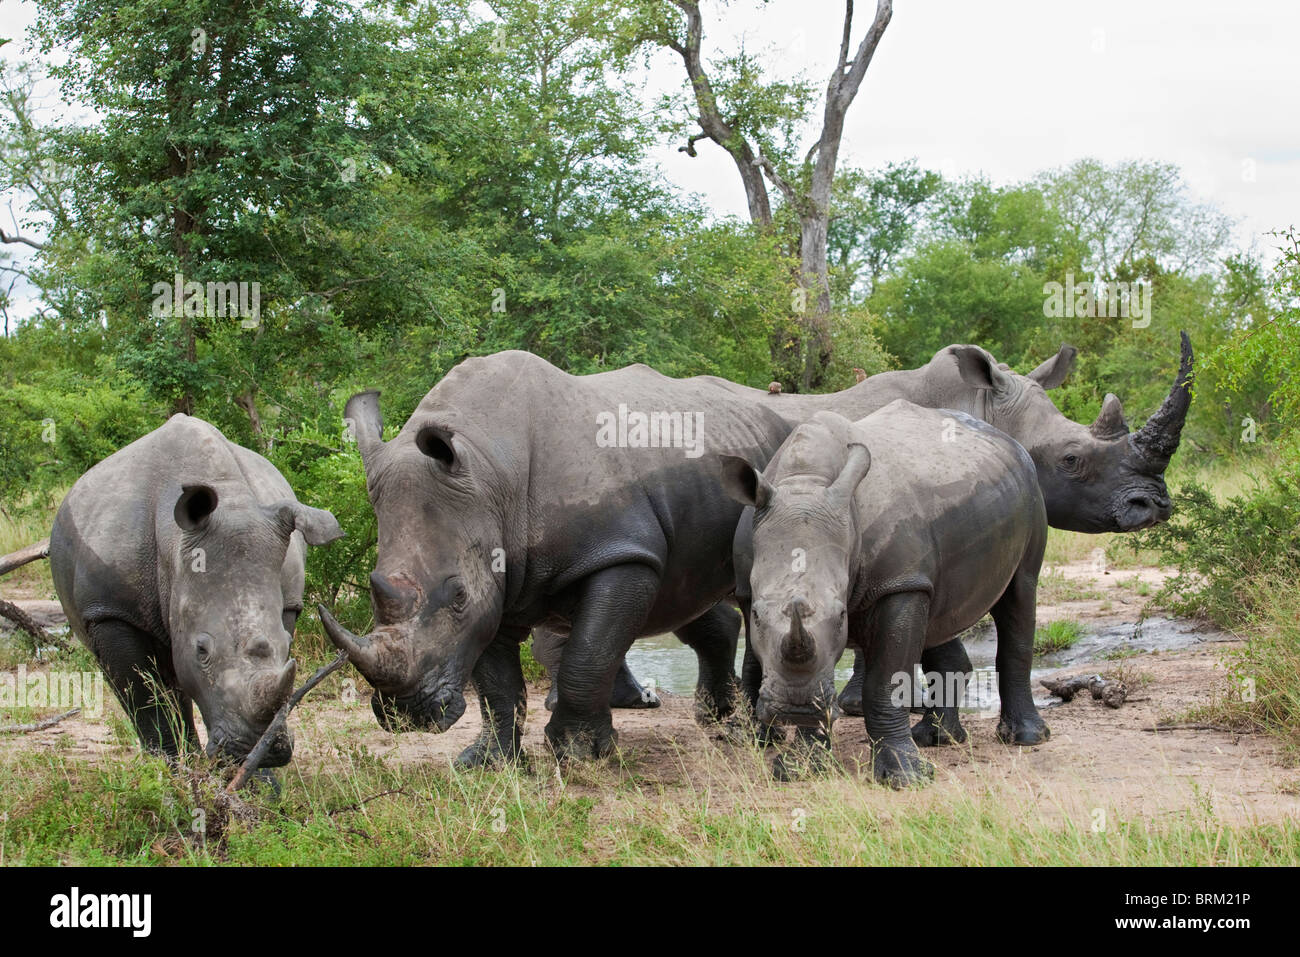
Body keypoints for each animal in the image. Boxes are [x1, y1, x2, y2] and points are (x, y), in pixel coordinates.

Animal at [51, 416, 345, 764]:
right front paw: (165, 772)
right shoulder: (110, 611)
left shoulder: (287, 601)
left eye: (289, 645)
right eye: (201, 650)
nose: (267, 752)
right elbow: (144, 699)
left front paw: (256, 774)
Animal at [321, 351, 790, 764]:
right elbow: (495, 682)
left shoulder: (620, 553)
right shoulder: (497, 578)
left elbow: (589, 655)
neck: (490, 473)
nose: (405, 715)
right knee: (686, 589)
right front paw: (486, 762)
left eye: (457, 597)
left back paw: (747, 733)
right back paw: (716, 719)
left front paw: (580, 754)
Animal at [722, 403, 1045, 785]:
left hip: (1029, 490)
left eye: (842, 615)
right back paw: (936, 738)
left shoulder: (897, 583)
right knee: (939, 611)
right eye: (756, 614)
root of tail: (1005, 437)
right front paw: (799, 770)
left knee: (1020, 591)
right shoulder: (747, 585)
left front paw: (906, 777)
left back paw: (1026, 738)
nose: (793, 706)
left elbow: (885, 681)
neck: (805, 482)